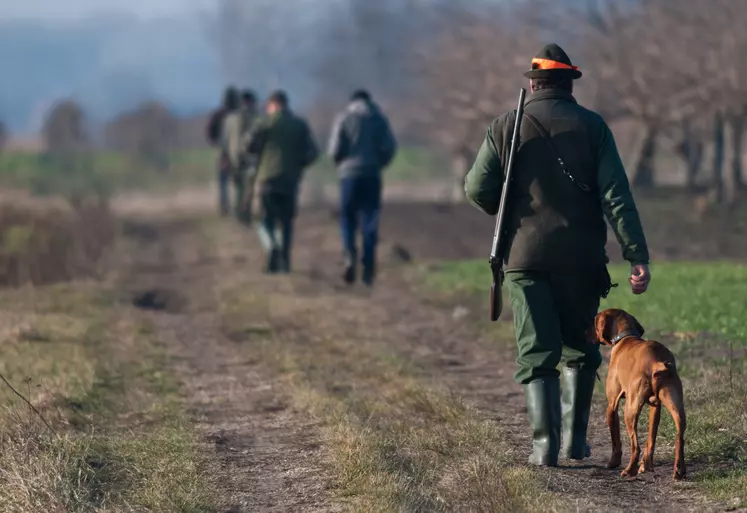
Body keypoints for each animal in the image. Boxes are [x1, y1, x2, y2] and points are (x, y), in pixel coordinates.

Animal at [592, 308, 688, 480]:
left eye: (595, 320)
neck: (626, 337)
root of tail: (656, 361)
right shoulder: (656, 407)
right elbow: (651, 439)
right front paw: (647, 466)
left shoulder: (611, 405)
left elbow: (615, 440)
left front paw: (613, 463)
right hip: (676, 407)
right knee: (679, 438)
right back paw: (679, 471)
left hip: (630, 410)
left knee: (635, 445)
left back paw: (629, 470)